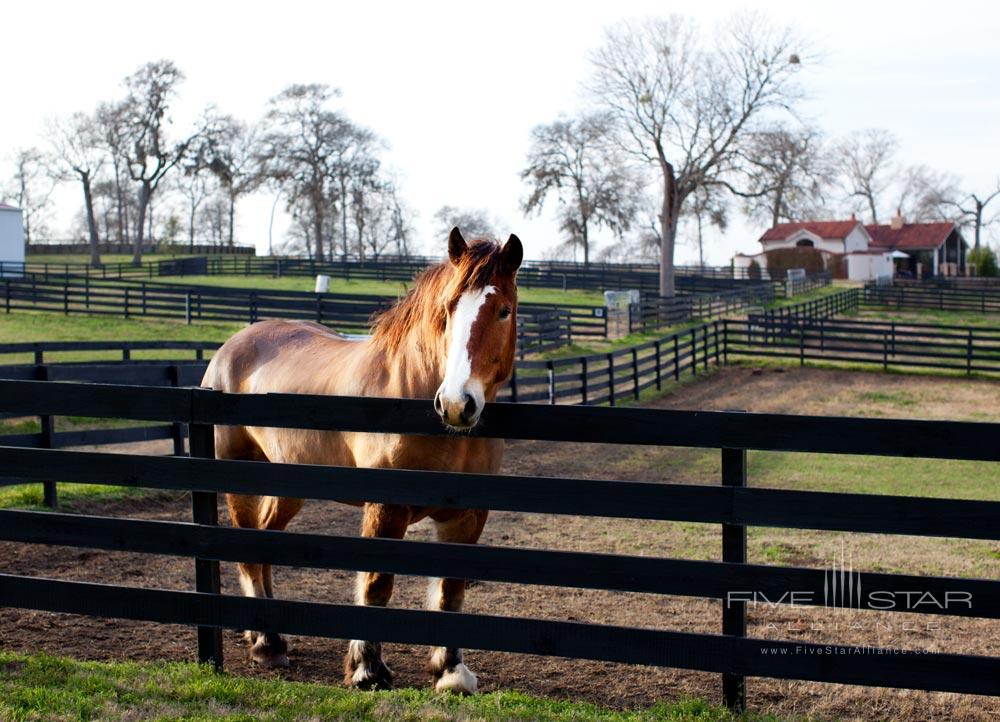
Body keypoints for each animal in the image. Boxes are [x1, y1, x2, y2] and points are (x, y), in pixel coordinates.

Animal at [198, 228, 520, 696]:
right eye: (447, 309)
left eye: (503, 311)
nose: (457, 404)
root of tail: (229, 350)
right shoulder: (386, 508)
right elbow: (376, 585)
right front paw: (368, 669)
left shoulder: (467, 516)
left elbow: (451, 590)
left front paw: (451, 671)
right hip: (241, 479)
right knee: (248, 551)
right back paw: (267, 644)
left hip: (288, 486)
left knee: (266, 540)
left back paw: (266, 634)